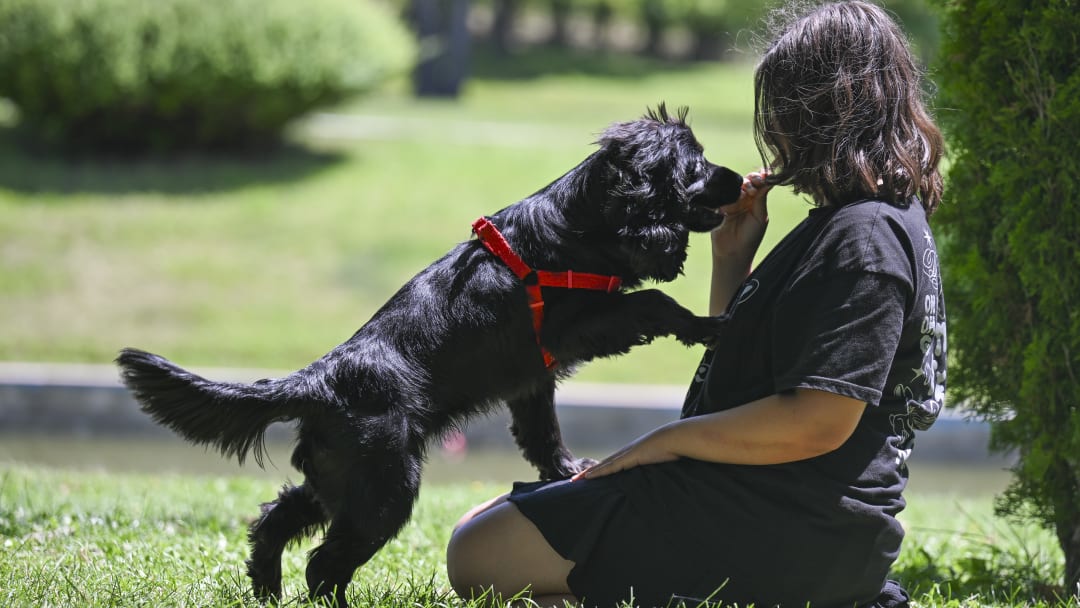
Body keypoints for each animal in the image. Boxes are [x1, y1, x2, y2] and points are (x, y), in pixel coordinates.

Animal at [116, 105, 743, 608]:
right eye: (697, 164)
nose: (738, 178)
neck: (579, 226)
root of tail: (320, 379)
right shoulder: (580, 324)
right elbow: (655, 300)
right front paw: (709, 325)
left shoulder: (530, 377)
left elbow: (541, 433)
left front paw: (565, 473)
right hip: (383, 487)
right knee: (325, 564)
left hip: (336, 479)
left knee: (275, 522)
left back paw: (266, 591)